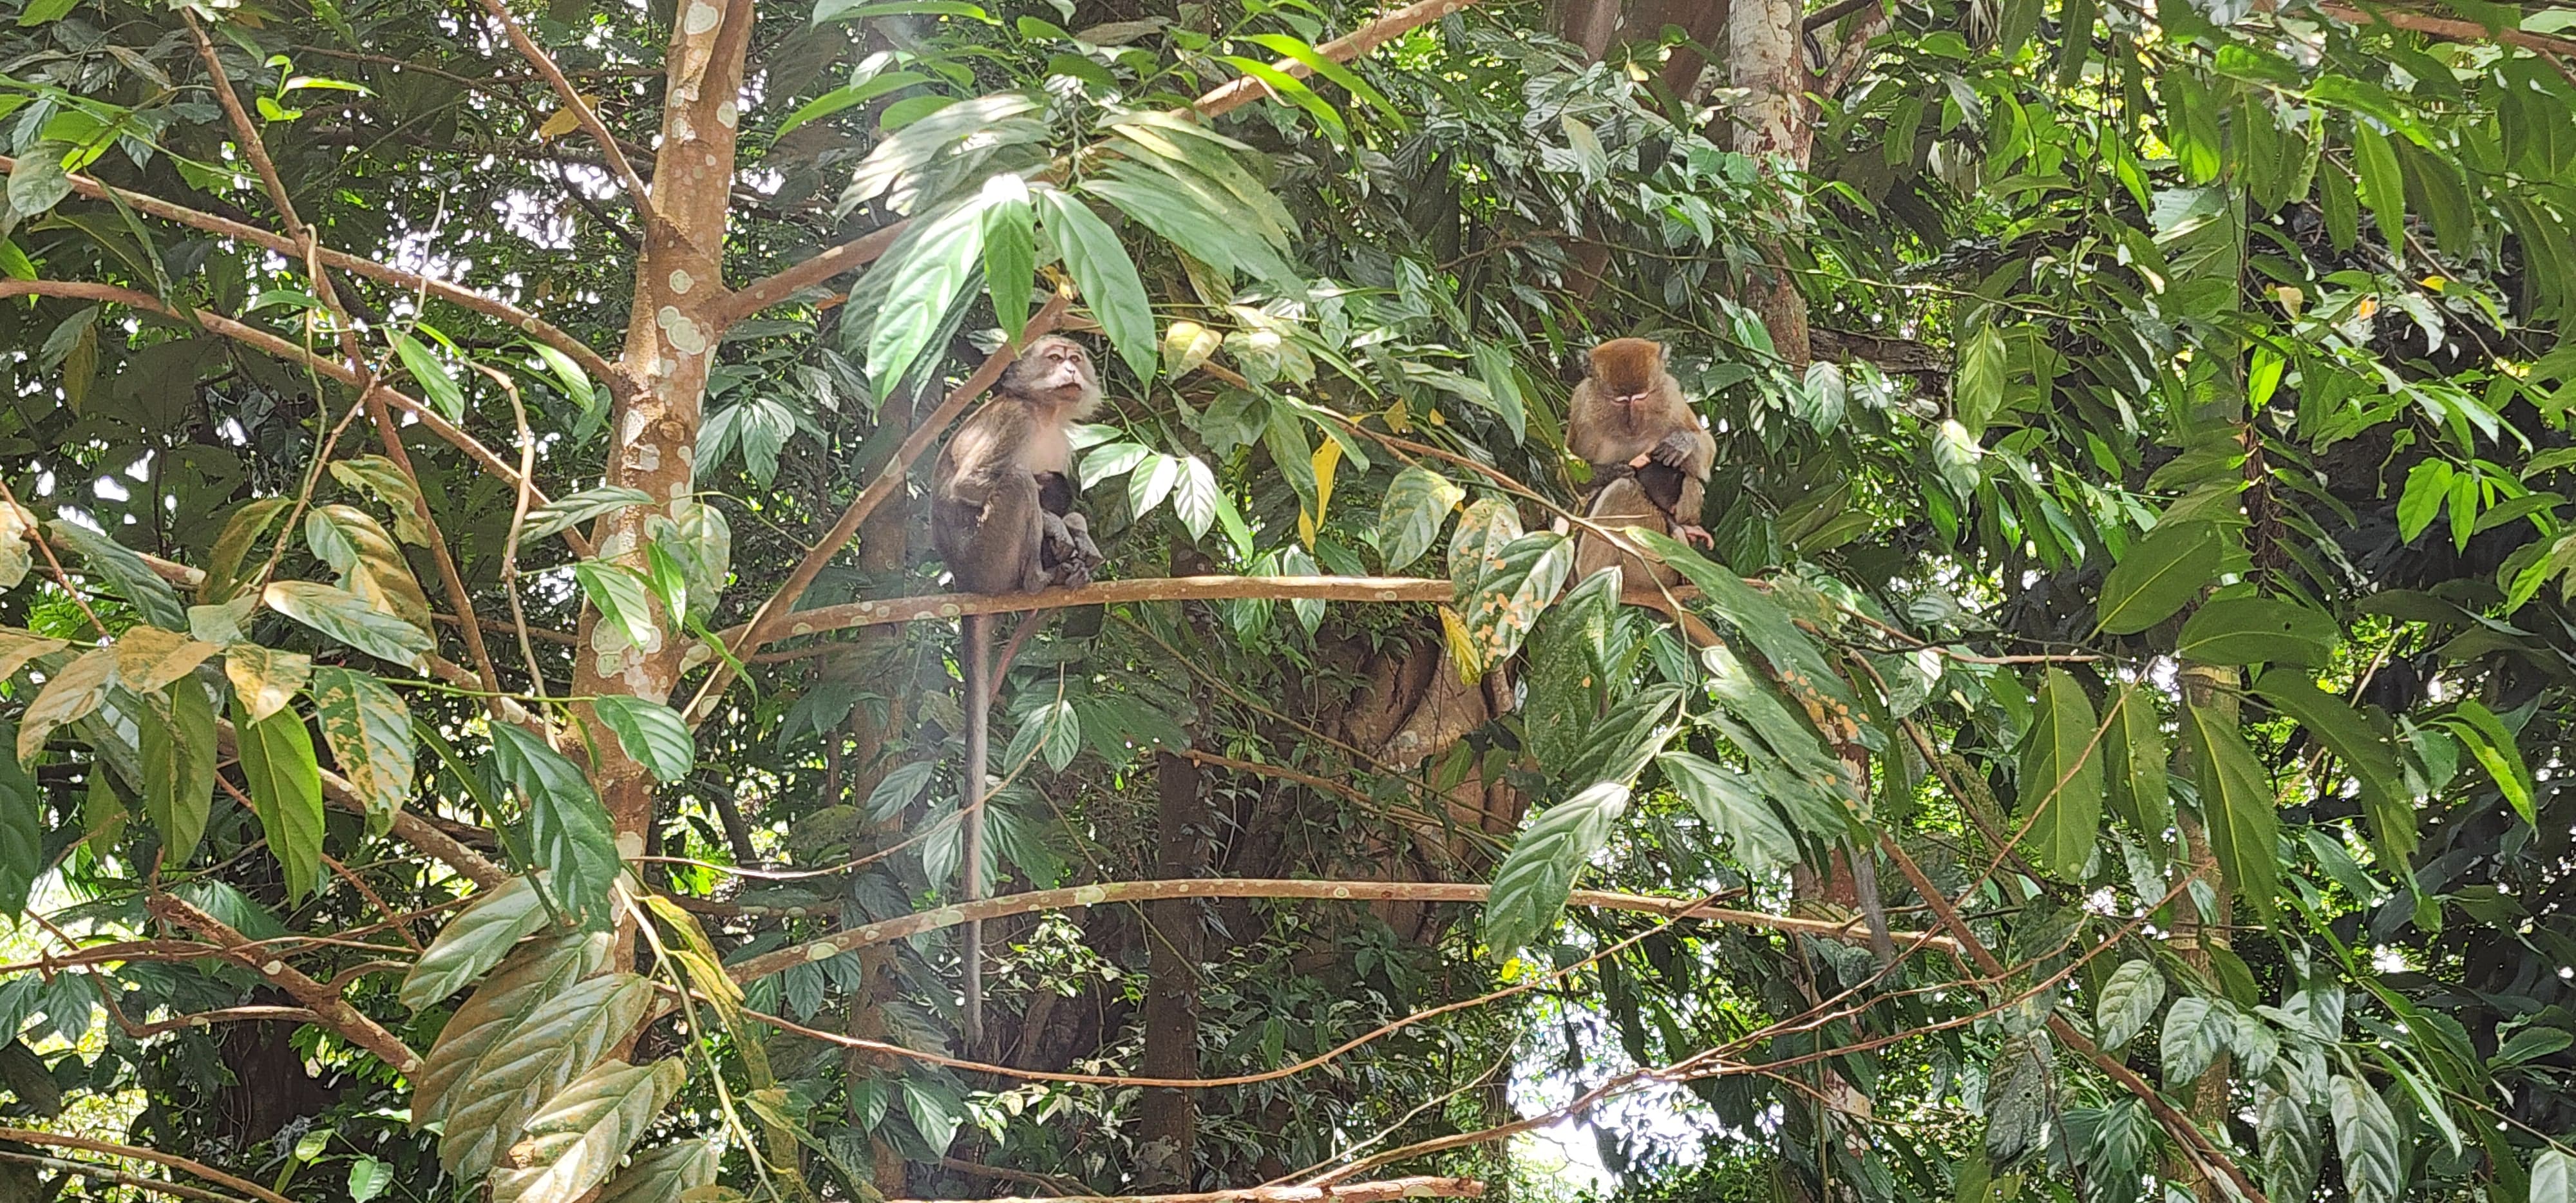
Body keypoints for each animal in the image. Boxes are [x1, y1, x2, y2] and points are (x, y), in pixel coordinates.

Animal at [1556, 337, 1721, 587]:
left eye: (1641, 397)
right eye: (1620, 401)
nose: (1632, 423)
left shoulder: (1671, 396)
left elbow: (1705, 454)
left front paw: (1682, 443)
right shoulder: (1582, 405)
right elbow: (1570, 479)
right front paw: (1609, 472)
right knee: (1624, 487)